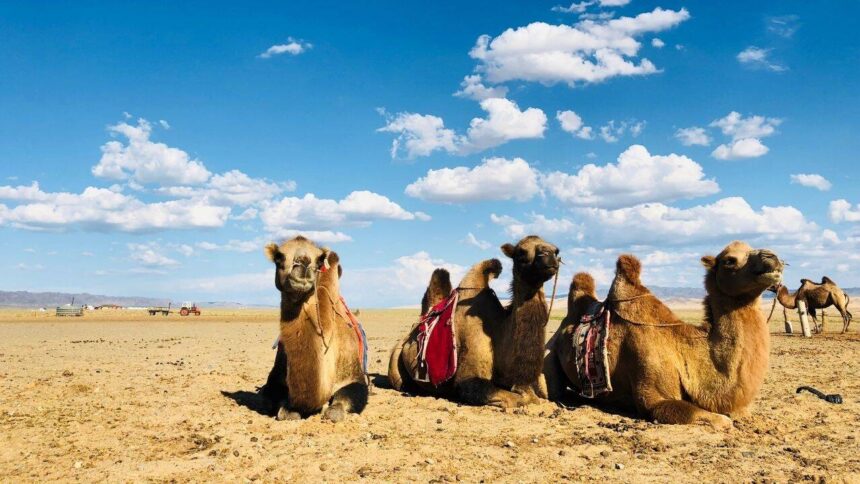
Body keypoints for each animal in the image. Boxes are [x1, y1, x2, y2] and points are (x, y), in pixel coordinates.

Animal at [259, 236, 368, 421]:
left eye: (319, 260)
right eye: (279, 257)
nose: (303, 262)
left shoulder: (353, 374)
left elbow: (338, 407)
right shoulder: (276, 375)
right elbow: (275, 402)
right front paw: (289, 410)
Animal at [388, 235, 560, 408]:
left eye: (556, 250)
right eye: (521, 253)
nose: (550, 253)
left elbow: (535, 396)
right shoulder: (469, 377)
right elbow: (517, 398)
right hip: (395, 362)